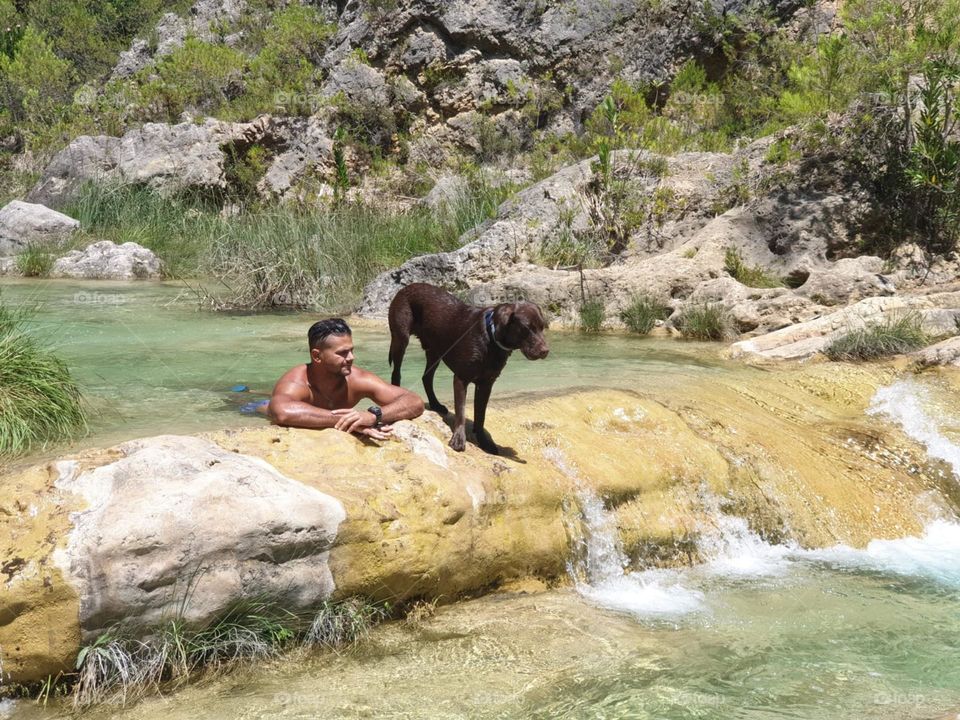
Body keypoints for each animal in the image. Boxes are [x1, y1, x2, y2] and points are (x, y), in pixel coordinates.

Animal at [384, 284, 548, 452]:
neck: (490, 337)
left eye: (543, 327)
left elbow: (480, 415)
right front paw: (458, 439)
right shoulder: (461, 379)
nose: (545, 351)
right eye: (527, 328)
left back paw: (436, 404)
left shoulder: (486, 384)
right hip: (401, 339)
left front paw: (485, 442)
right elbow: (461, 411)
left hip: (435, 352)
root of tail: (406, 288)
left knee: (426, 378)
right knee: (396, 373)